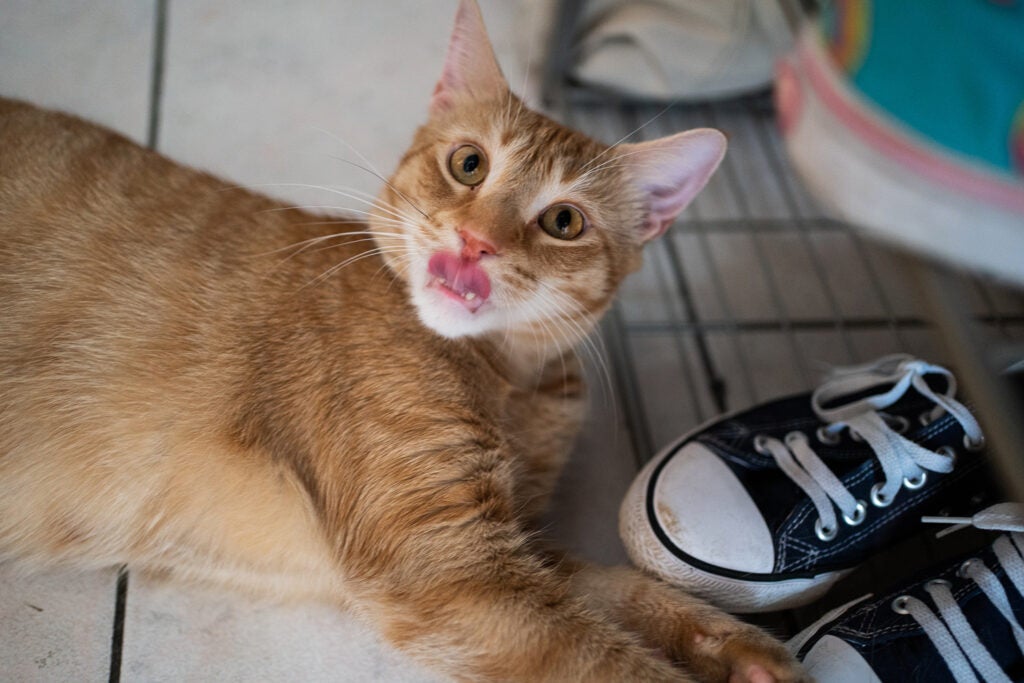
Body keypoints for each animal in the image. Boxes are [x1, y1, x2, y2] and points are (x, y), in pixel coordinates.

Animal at [0, 2, 806, 679]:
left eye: (564, 221)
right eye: (469, 163)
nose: (476, 241)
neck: (513, 378)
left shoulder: (511, 546)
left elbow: (619, 589)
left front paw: (742, 651)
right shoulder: (451, 564)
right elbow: (609, 659)